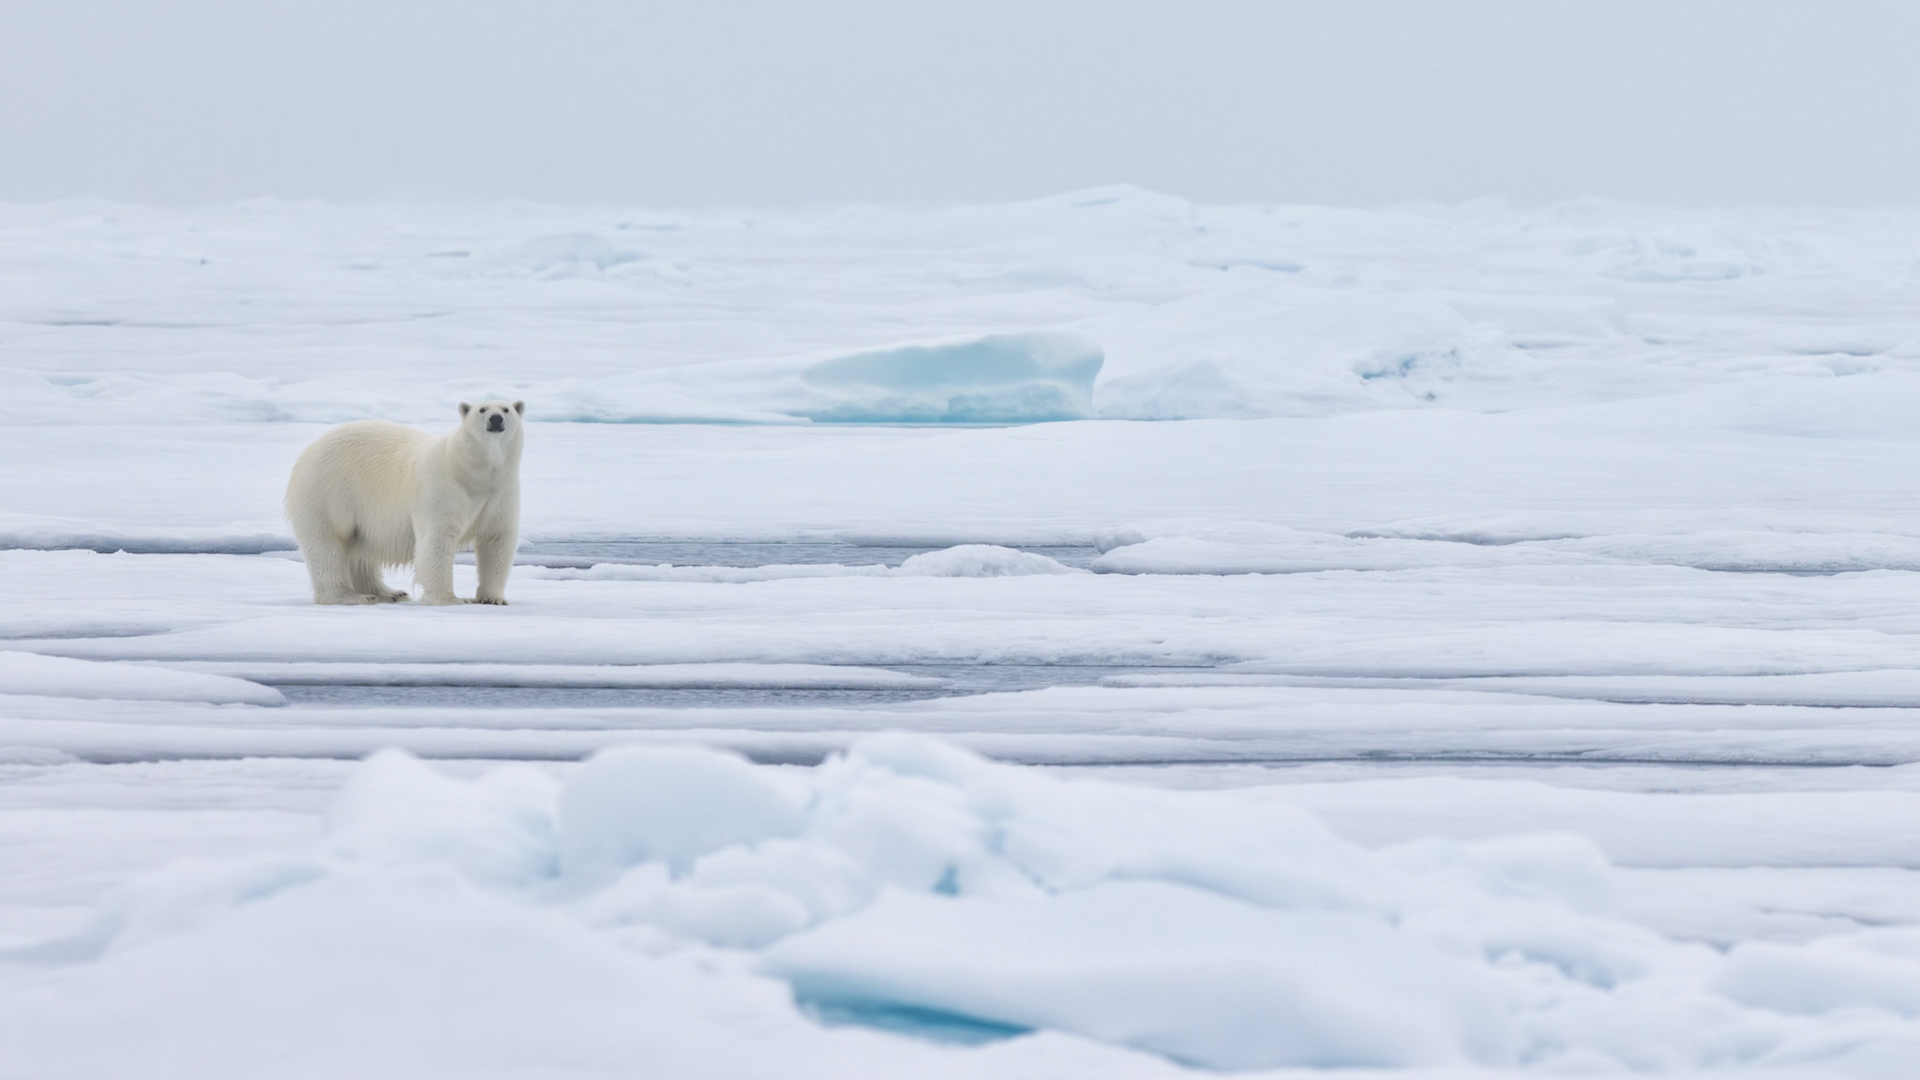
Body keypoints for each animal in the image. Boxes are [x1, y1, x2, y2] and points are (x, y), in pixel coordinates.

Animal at [285, 401, 525, 606]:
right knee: (328, 545)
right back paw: (351, 596)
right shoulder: (442, 489)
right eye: (482, 409)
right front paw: (451, 599)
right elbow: (437, 540)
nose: (496, 419)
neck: (473, 473)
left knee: (360, 550)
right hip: (328, 494)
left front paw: (493, 598)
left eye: (506, 409)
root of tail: (306, 453)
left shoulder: (502, 492)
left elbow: (496, 539)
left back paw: (389, 593)